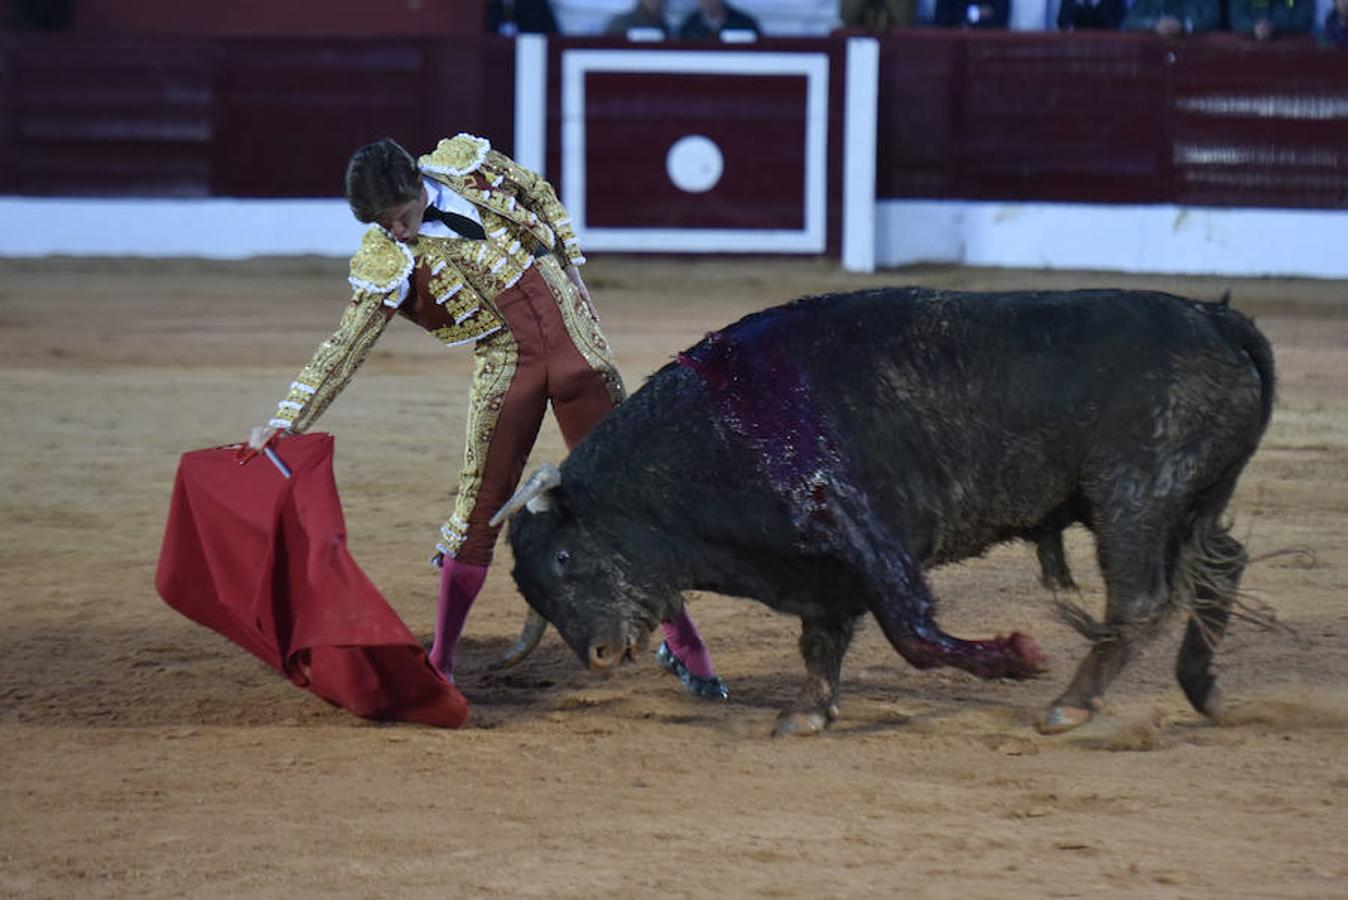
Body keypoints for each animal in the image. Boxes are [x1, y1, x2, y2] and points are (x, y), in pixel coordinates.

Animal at [493, 284, 1272, 732]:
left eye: (565, 555)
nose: (597, 655)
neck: (708, 435)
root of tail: (1215, 319)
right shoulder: (816, 567)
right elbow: (821, 638)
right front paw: (807, 712)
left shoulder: (854, 526)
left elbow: (911, 632)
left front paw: (1017, 658)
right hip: (1188, 501)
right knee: (1221, 566)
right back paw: (1203, 691)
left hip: (1133, 496)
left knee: (1140, 599)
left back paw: (1071, 703)